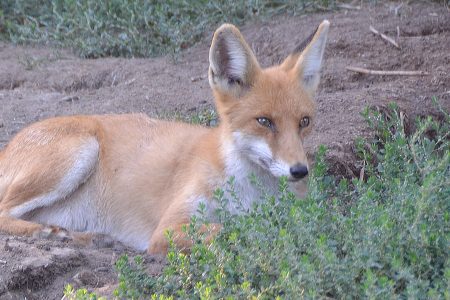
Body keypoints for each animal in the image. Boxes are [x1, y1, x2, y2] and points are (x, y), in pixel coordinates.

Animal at [0, 21, 330, 254]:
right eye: (264, 121)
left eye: (304, 122)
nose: (300, 171)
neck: (250, 194)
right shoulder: (169, 228)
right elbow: (235, 229)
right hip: (80, 152)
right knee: (3, 212)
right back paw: (48, 233)